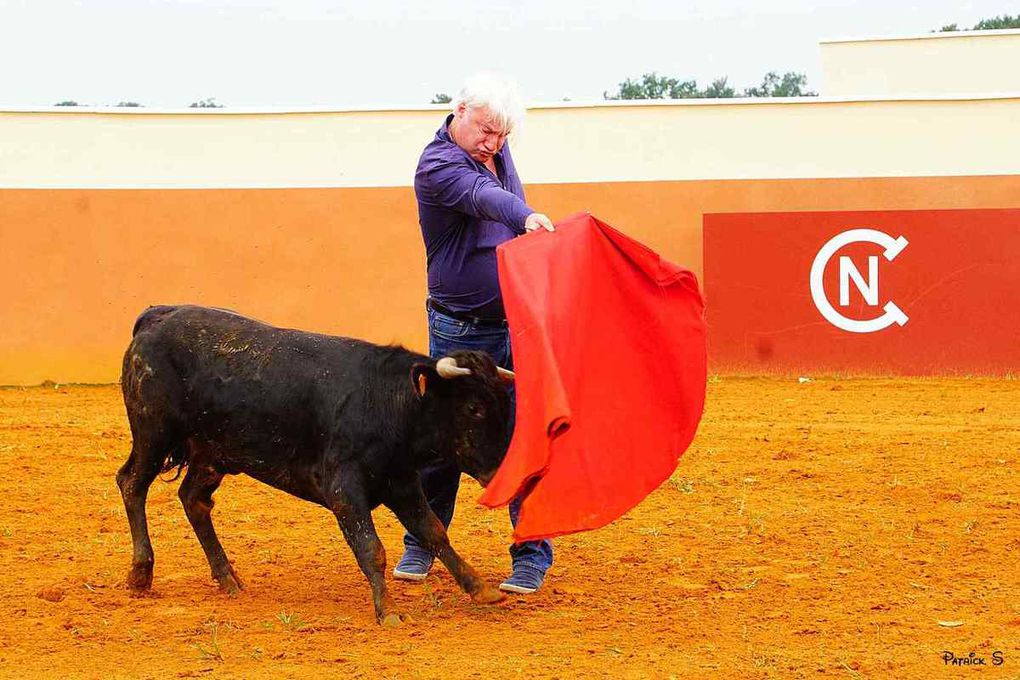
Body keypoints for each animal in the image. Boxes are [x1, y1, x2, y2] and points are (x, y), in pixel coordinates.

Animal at [117, 305, 518, 623]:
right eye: (474, 408)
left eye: (503, 402)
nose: (501, 472)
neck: (388, 402)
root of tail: (158, 315)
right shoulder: (346, 491)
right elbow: (372, 548)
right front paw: (388, 610)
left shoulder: (402, 482)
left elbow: (433, 532)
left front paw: (480, 587)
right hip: (154, 433)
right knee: (132, 483)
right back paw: (140, 573)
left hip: (212, 452)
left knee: (193, 499)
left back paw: (227, 577)